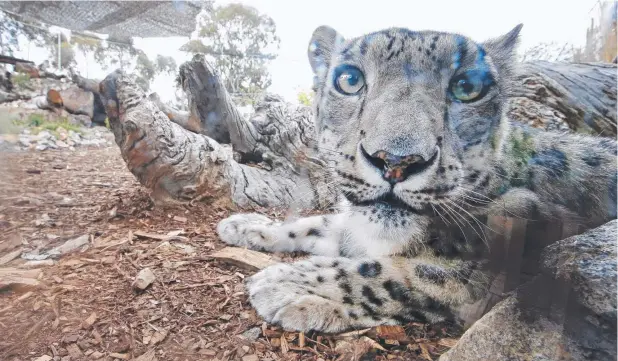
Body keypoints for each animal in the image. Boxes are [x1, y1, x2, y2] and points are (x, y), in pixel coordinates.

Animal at [214, 23, 612, 330]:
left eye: (467, 87)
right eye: (349, 79)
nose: (395, 160)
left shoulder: (474, 271)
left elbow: (391, 272)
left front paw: (287, 283)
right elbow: (317, 224)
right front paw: (248, 225)